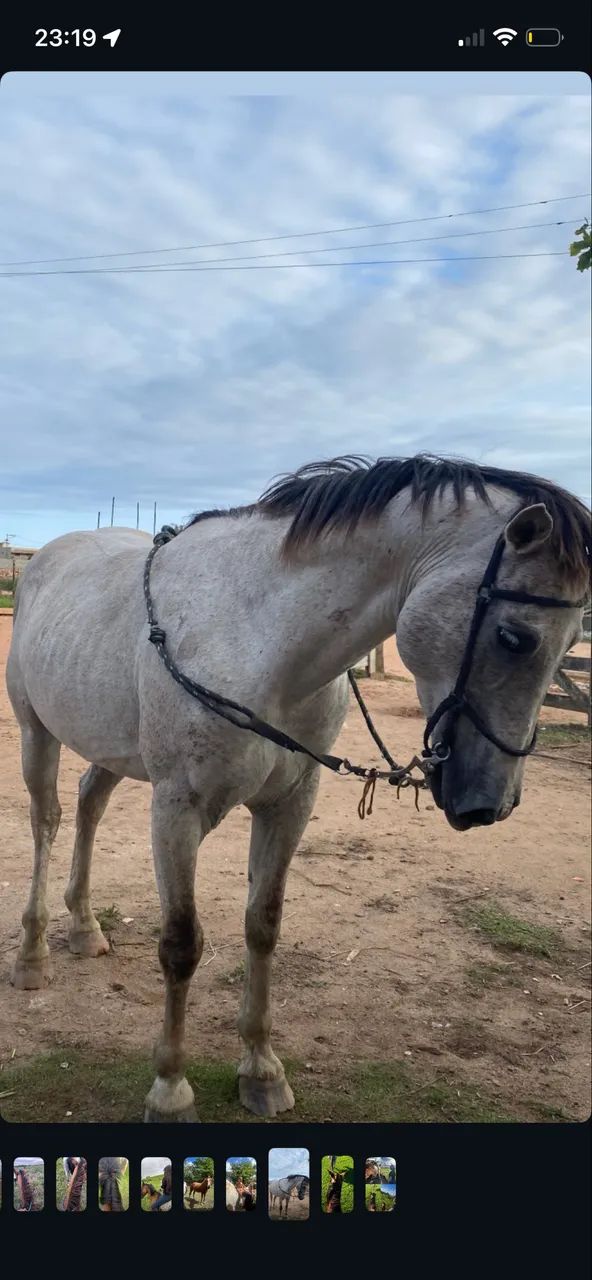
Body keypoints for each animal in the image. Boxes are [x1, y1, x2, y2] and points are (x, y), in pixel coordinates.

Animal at [6, 454, 589, 1123]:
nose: (491, 803)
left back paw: (83, 928)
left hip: (109, 748)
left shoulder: (289, 804)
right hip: (36, 733)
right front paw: (171, 1089)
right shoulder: (176, 808)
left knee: (88, 806)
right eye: (515, 637)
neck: (257, 636)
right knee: (46, 821)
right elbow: (180, 944)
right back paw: (33, 954)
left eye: (572, 644)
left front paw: (261, 1070)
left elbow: (264, 925)